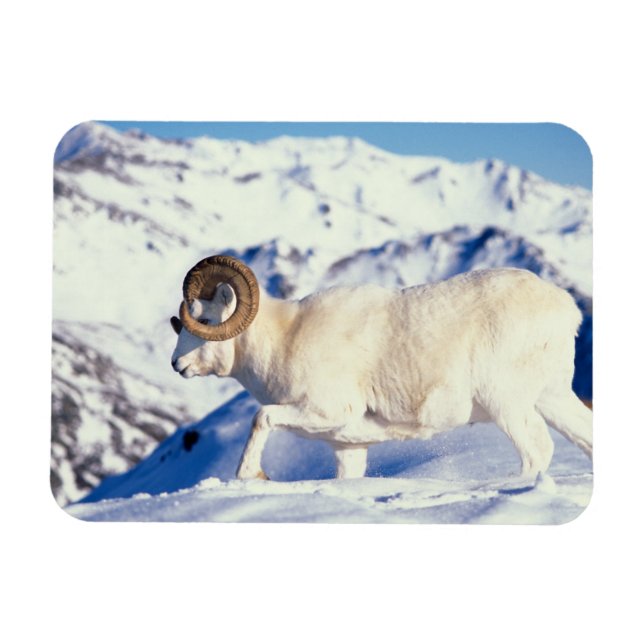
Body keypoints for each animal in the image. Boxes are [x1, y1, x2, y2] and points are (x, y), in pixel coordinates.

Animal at [170, 255, 592, 481]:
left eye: (203, 320)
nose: (177, 364)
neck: (285, 338)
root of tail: (564, 307)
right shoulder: (347, 446)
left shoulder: (324, 411)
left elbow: (261, 418)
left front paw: (252, 476)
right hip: (553, 398)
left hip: (508, 404)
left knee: (536, 451)